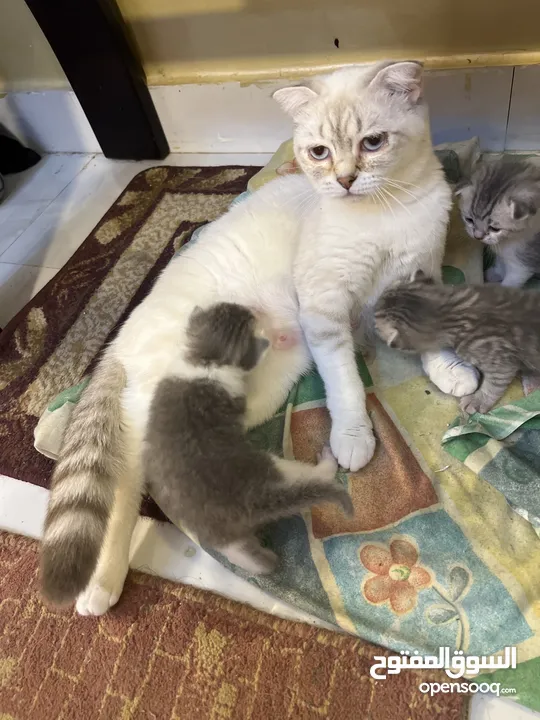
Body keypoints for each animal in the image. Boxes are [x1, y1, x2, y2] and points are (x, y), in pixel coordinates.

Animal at [142, 300, 350, 576]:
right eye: (249, 318)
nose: (254, 308)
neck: (209, 361)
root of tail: (250, 503)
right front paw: (279, 339)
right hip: (275, 468)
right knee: (311, 475)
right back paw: (326, 463)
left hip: (215, 530)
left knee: (241, 553)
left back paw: (263, 563)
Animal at [374, 272, 540, 414]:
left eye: (375, 318)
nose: (372, 309)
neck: (454, 311)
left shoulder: (499, 359)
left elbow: (495, 383)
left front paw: (477, 400)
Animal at [458, 155, 540, 286]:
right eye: (469, 220)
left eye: (495, 228)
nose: (477, 236)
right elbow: (501, 261)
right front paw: (496, 273)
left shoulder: (522, 266)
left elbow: (509, 284)